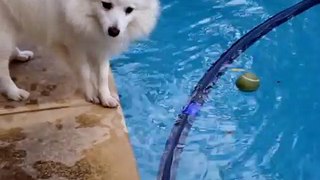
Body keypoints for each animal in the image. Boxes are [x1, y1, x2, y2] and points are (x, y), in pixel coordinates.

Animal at [0, 0, 160, 107]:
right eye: (106, 4)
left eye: (129, 10)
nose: (114, 31)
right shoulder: (75, 44)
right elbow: (85, 72)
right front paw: (91, 94)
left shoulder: (100, 43)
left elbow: (102, 74)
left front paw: (106, 96)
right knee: (2, 67)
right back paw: (14, 92)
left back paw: (19, 55)